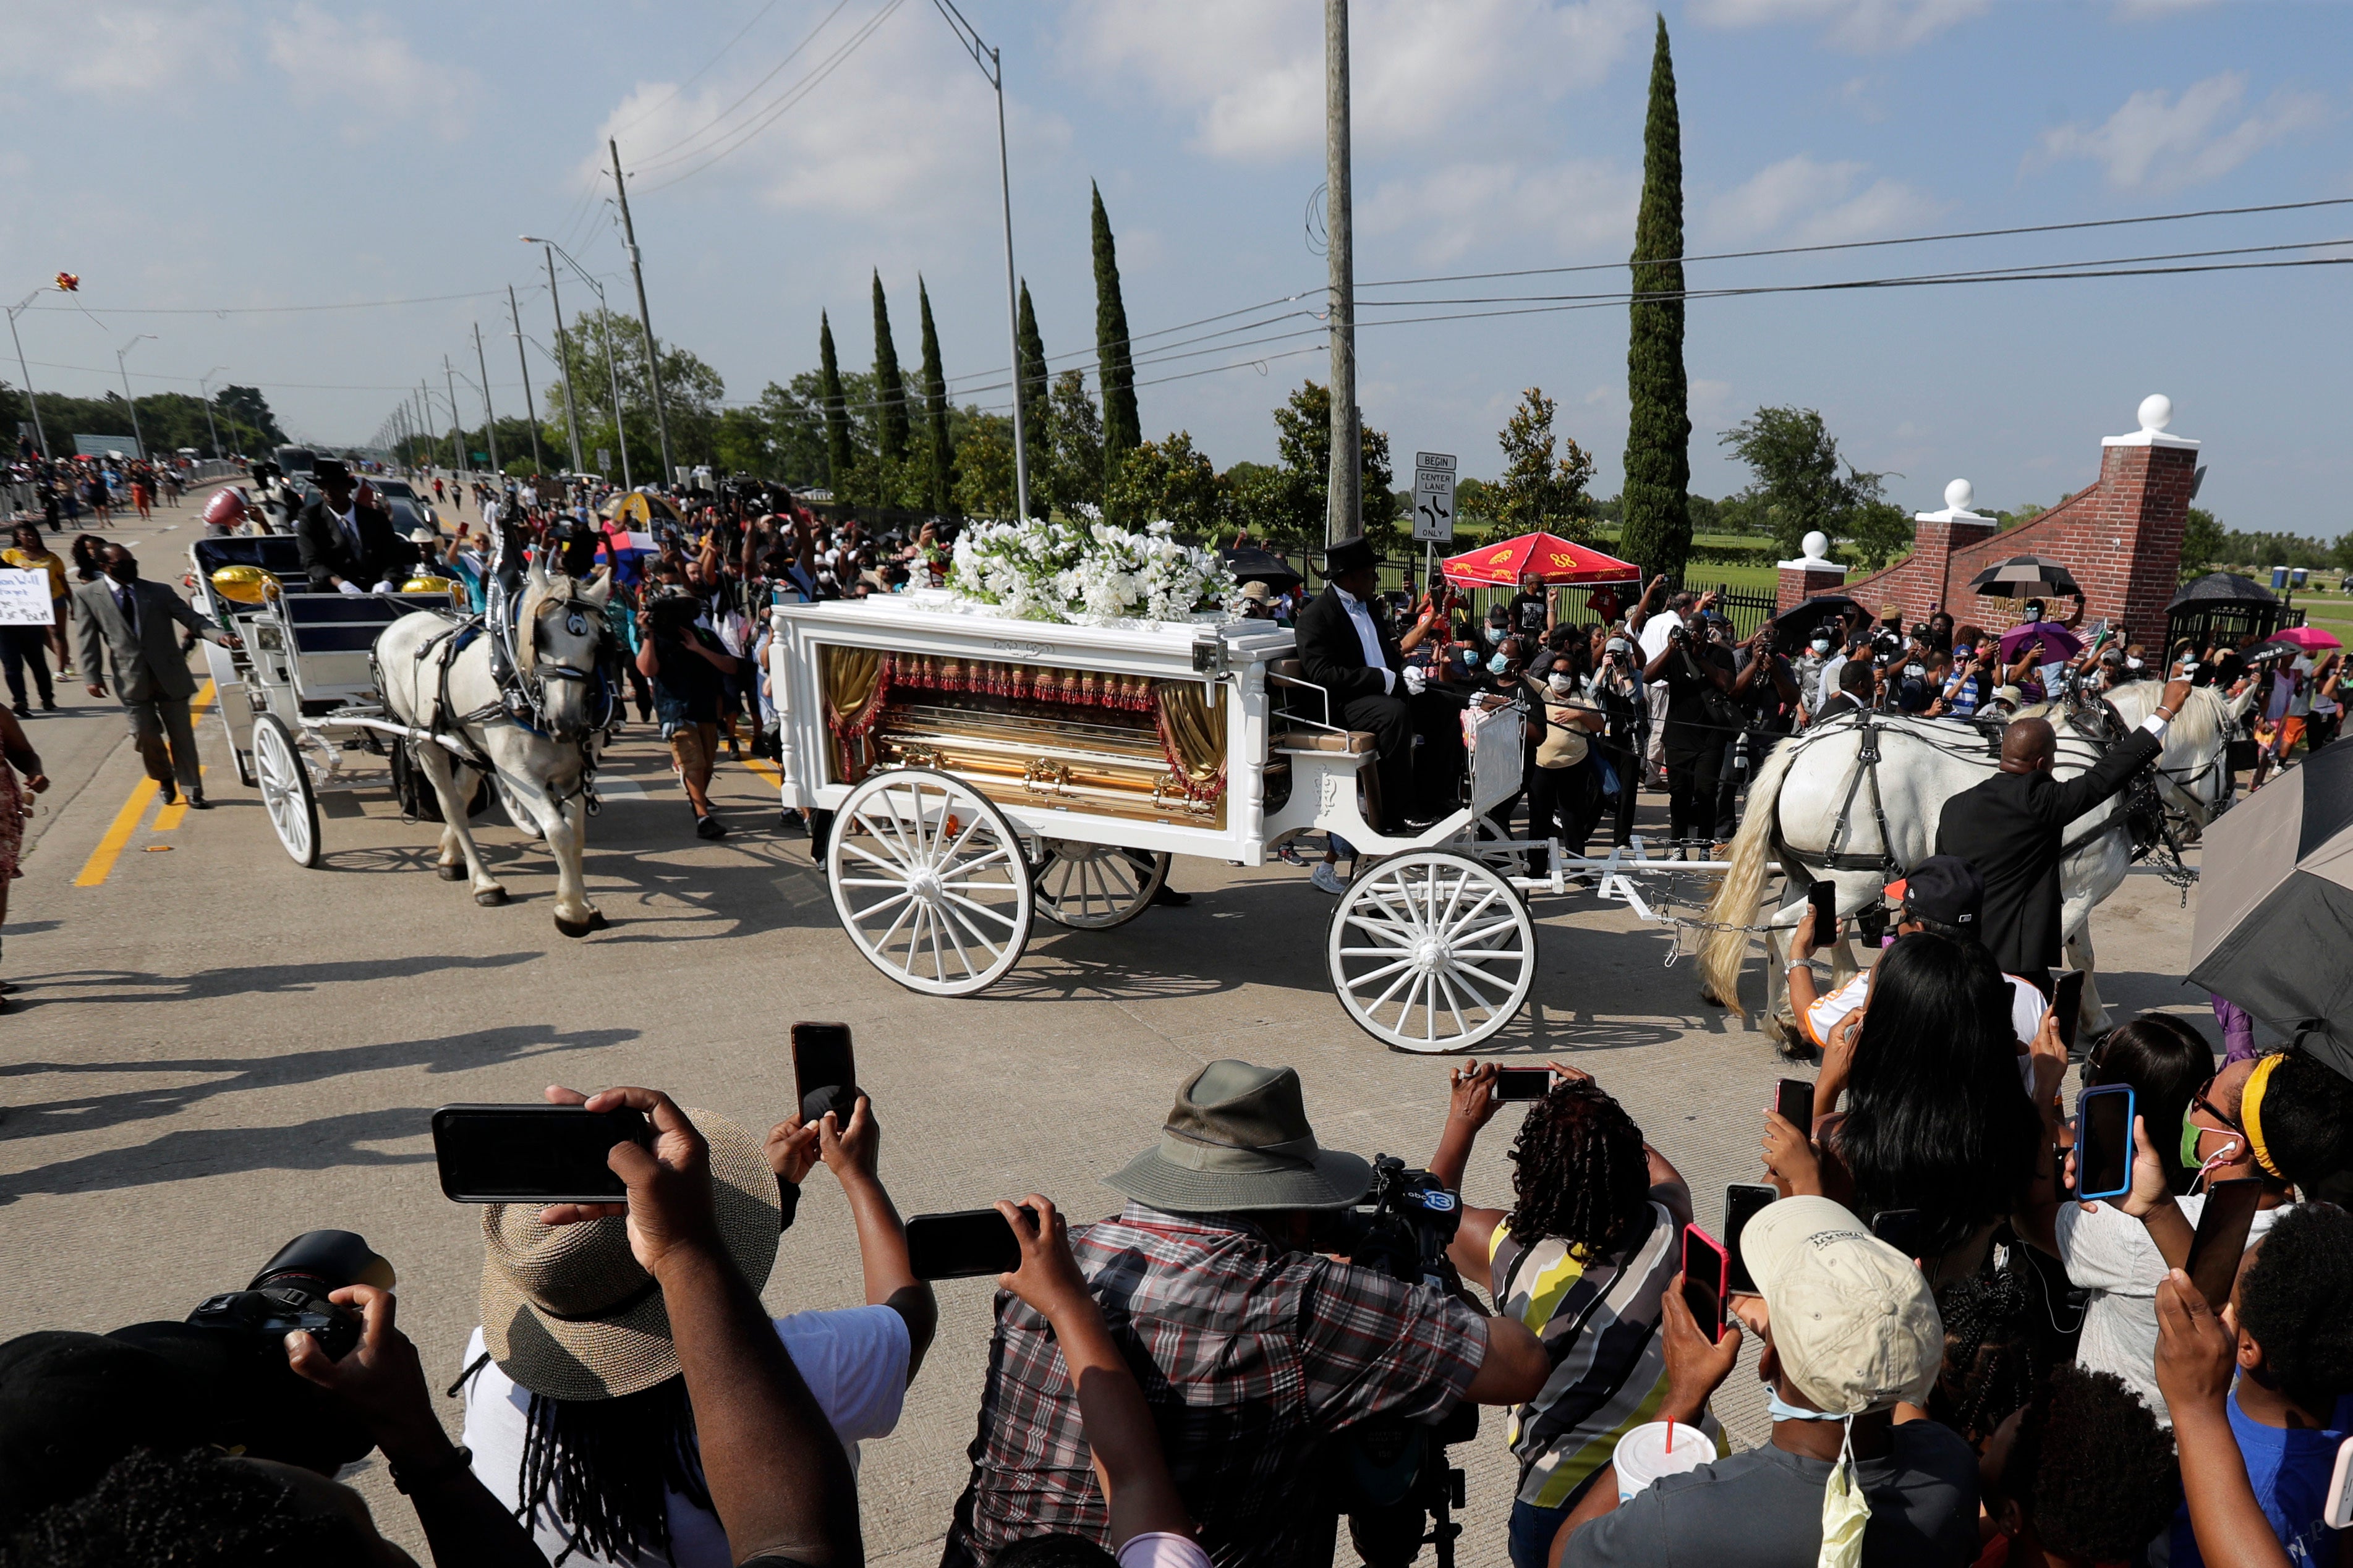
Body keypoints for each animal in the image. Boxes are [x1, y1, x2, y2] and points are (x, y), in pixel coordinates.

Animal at [376, 562, 616, 931]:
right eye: (540, 636)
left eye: (598, 643)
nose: (566, 723)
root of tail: (399, 623)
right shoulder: (517, 773)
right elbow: (557, 832)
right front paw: (571, 912)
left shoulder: (574, 774)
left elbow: (575, 836)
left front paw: (584, 905)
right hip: (426, 740)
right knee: (452, 807)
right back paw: (484, 883)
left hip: (467, 742)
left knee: (463, 793)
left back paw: (450, 856)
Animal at [1694, 682, 2240, 1043]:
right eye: (2231, 749)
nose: (2222, 810)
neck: (2103, 753)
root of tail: (1800, 746)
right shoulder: (2081, 890)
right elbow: (2050, 959)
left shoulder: (2072, 884)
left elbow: (2083, 955)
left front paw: (2095, 1019)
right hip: (1854, 880)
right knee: (1787, 929)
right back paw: (1791, 1022)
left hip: (1811, 875)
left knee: (1792, 930)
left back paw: (1791, 1011)